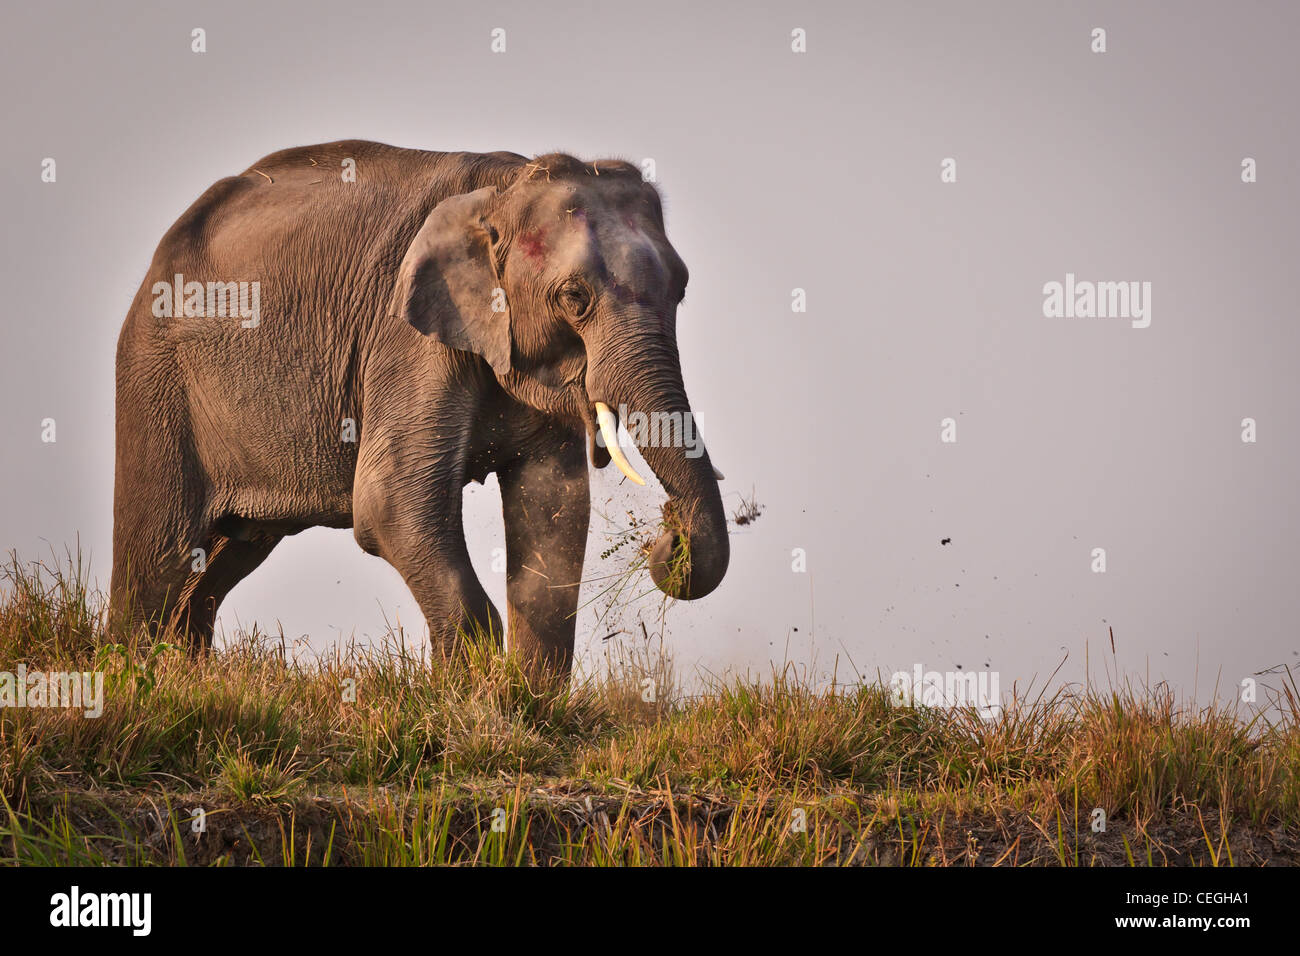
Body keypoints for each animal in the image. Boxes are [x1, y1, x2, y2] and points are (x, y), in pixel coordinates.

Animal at [111, 141, 733, 681]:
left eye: (680, 290)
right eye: (574, 297)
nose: (666, 534)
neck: (503, 189)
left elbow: (554, 508)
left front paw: (528, 704)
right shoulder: (407, 338)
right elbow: (389, 506)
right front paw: (474, 702)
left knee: (222, 557)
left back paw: (184, 673)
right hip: (155, 379)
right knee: (159, 554)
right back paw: (132, 675)